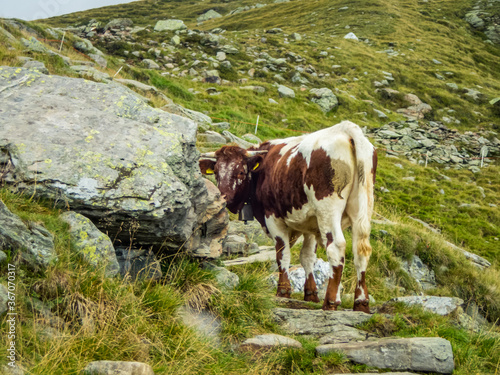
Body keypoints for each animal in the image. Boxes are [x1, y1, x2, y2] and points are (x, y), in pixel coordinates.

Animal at [198, 122, 376, 312]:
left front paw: (283, 290)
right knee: (361, 250)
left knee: (336, 247)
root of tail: (346, 129)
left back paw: (330, 301)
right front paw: (311, 293)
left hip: (328, 210)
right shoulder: (310, 224)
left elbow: (282, 253)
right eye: (216, 172)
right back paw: (361, 302)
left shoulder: (272, 217)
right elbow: (307, 257)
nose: (223, 197)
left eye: (240, 172)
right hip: (362, 208)